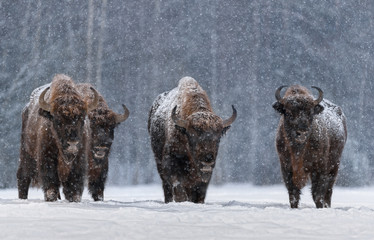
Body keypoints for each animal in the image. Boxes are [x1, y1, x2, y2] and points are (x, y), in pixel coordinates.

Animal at [16, 74, 98, 202]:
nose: (72, 144)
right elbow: (51, 183)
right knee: (23, 177)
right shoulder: (47, 157)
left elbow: (74, 186)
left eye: (82, 119)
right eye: (58, 120)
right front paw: (51, 198)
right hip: (26, 153)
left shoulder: (79, 158)